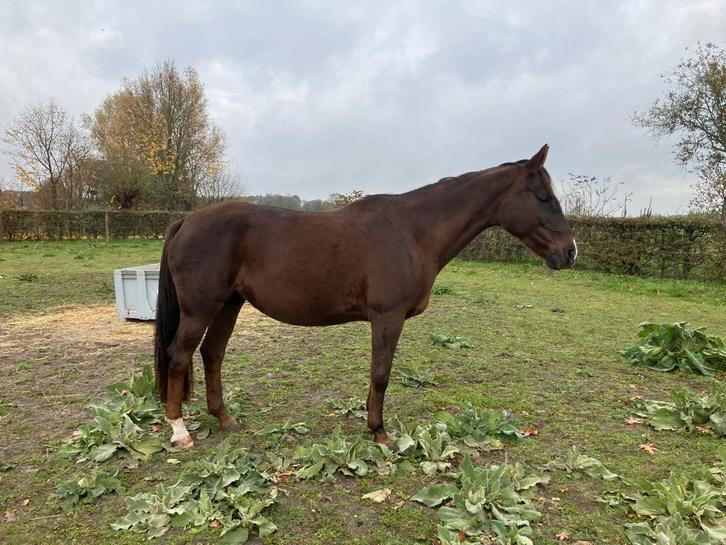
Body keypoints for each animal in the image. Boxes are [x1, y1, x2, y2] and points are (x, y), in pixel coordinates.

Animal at [154, 144, 577, 448]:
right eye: (543, 196)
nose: (570, 251)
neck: (413, 232)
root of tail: (186, 220)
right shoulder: (387, 317)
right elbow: (381, 374)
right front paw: (379, 432)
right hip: (200, 309)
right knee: (179, 356)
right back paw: (180, 431)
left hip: (229, 304)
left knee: (212, 354)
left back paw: (225, 419)